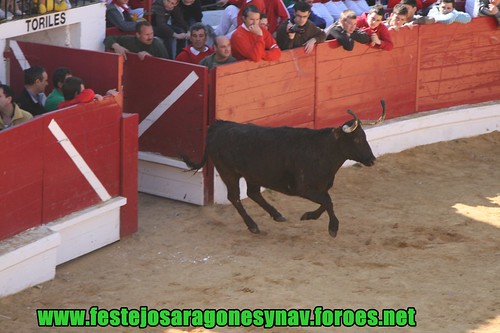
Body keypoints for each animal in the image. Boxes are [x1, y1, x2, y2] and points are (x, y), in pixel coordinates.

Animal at [184, 99, 386, 236]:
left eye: (365, 137)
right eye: (356, 139)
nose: (371, 159)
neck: (322, 151)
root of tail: (217, 126)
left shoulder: (321, 188)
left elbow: (326, 201)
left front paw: (308, 216)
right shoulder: (304, 189)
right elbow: (328, 202)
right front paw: (333, 228)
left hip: (253, 175)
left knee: (253, 193)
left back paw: (277, 215)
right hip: (228, 173)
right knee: (235, 197)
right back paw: (253, 225)